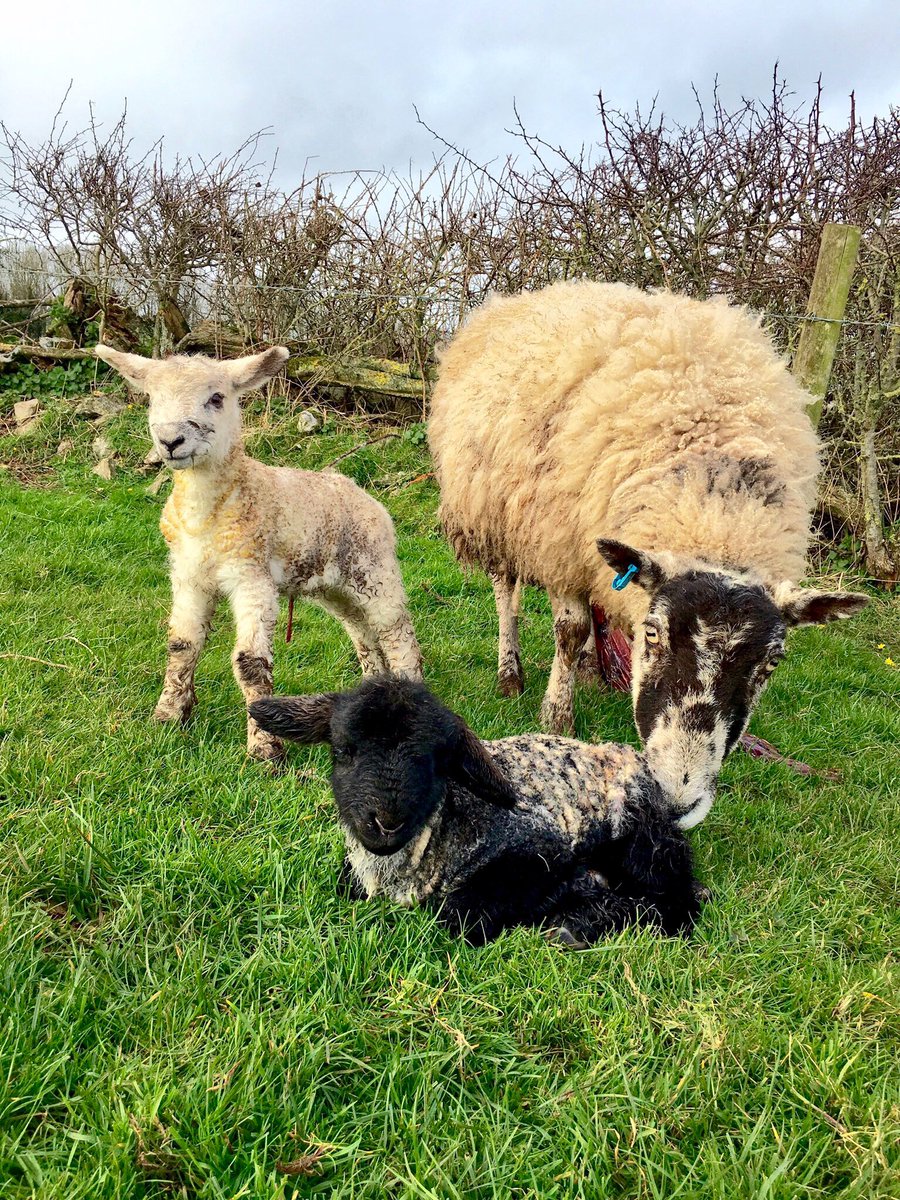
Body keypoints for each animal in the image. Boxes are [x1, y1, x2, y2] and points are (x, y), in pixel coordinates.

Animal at [95, 345, 427, 758]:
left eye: (216, 398)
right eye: (153, 399)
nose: (171, 441)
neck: (207, 517)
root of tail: (363, 494)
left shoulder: (251, 575)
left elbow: (250, 663)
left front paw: (264, 749)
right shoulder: (188, 575)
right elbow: (181, 646)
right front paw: (168, 716)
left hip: (375, 566)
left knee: (396, 633)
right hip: (334, 586)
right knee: (362, 632)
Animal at [248, 676, 705, 945]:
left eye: (435, 762)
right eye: (344, 750)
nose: (386, 823)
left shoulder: (537, 852)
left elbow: (458, 915)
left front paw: (567, 903)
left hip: (642, 843)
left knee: (679, 903)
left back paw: (577, 924)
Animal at [434, 280, 868, 825]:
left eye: (772, 663)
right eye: (654, 634)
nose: (676, 799)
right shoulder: (560, 546)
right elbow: (568, 630)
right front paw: (557, 717)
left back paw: (592, 669)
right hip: (495, 511)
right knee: (505, 593)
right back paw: (510, 672)